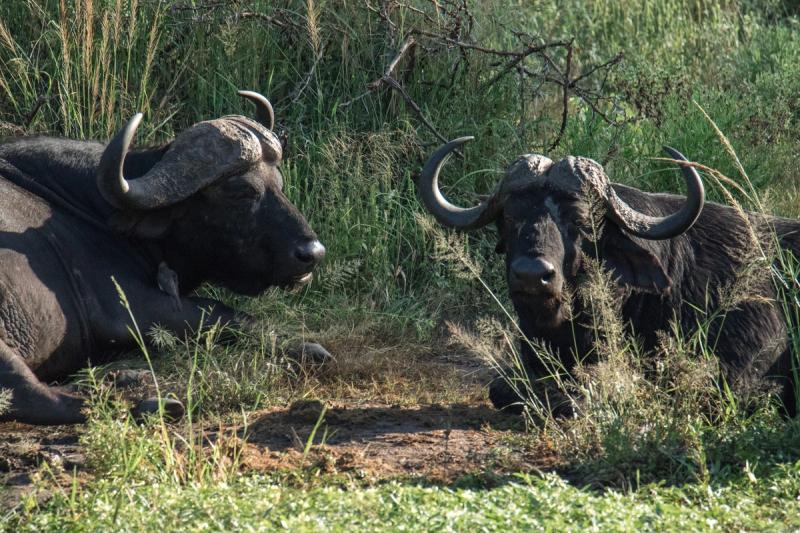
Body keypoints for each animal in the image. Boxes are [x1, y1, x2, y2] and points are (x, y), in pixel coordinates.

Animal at [0, 91, 327, 425]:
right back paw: (149, 404)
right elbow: (224, 313)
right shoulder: (132, 309)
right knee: (31, 395)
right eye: (241, 191)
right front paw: (305, 346)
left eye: (279, 182)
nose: (312, 253)